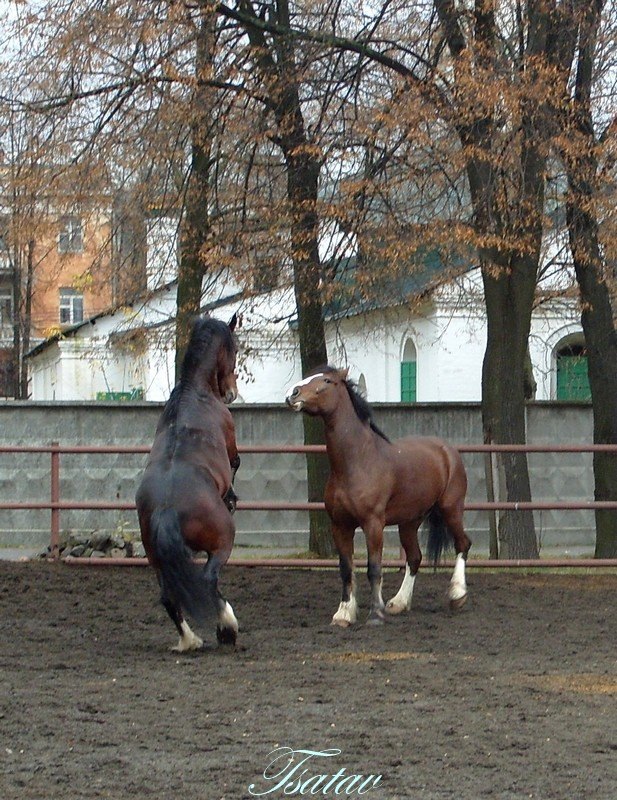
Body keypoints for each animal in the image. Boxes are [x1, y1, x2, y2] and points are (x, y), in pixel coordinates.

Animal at [135, 312, 241, 648]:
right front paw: (232, 498)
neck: (195, 391)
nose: (231, 393)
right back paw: (226, 627)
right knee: (208, 579)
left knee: (169, 597)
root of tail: (167, 509)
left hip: (157, 559)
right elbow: (236, 465)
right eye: (234, 349)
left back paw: (190, 640)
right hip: (222, 543)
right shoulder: (232, 448)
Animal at [286, 368, 470, 624]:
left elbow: (373, 568)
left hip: (451, 509)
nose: (292, 394)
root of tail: (447, 451)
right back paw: (398, 603)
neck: (357, 461)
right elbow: (346, 569)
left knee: (463, 544)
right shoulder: (340, 525)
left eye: (327, 380)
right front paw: (344, 613)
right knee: (414, 557)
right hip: (409, 522)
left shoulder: (373, 524)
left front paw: (375, 614)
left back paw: (457, 594)